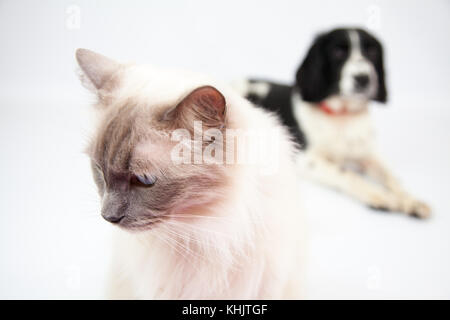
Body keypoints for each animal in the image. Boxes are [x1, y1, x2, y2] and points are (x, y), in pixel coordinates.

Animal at [236, 27, 428, 219]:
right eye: (338, 52)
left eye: (372, 52)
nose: (363, 78)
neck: (342, 117)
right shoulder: (307, 159)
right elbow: (346, 173)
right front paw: (378, 195)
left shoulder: (368, 155)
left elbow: (391, 177)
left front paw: (411, 200)